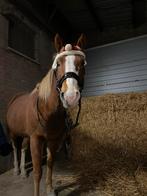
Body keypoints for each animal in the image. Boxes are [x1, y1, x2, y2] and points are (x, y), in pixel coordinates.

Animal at [6, 34, 86, 196]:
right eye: (58, 64)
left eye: (82, 63)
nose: (70, 97)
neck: (47, 110)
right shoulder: (36, 139)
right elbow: (37, 172)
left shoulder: (53, 139)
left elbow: (50, 163)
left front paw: (49, 189)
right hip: (13, 133)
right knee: (15, 148)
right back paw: (17, 170)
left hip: (25, 135)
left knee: (22, 148)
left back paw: (23, 171)